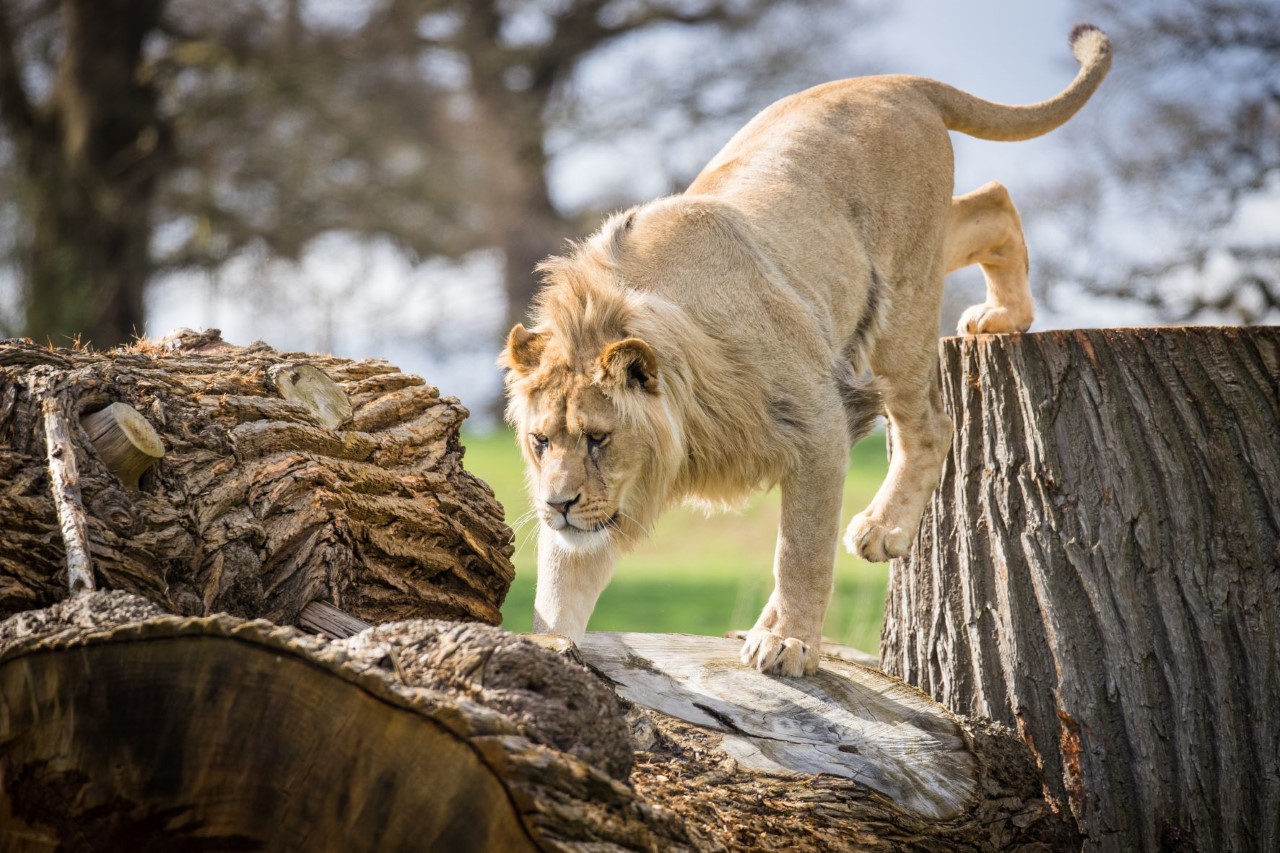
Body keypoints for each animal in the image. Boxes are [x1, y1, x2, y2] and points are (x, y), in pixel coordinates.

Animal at [499, 24, 1111, 671]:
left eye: (599, 439)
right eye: (540, 442)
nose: (557, 506)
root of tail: (895, 81)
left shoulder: (819, 423)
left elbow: (802, 548)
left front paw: (789, 640)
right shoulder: (598, 515)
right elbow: (560, 590)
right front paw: (543, 650)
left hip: (901, 303)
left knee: (930, 426)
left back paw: (883, 528)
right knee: (988, 202)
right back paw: (1004, 315)